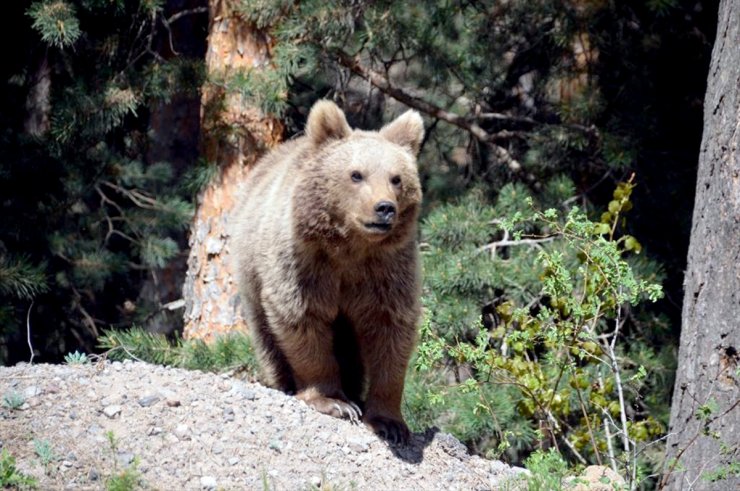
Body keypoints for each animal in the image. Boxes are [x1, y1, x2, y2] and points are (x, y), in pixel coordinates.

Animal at [233, 101, 428, 446]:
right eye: (356, 174)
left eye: (396, 178)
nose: (384, 208)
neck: (350, 248)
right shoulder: (304, 265)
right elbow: (302, 320)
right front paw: (334, 402)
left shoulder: (387, 271)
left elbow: (391, 333)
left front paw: (389, 422)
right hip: (251, 278)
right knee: (269, 341)